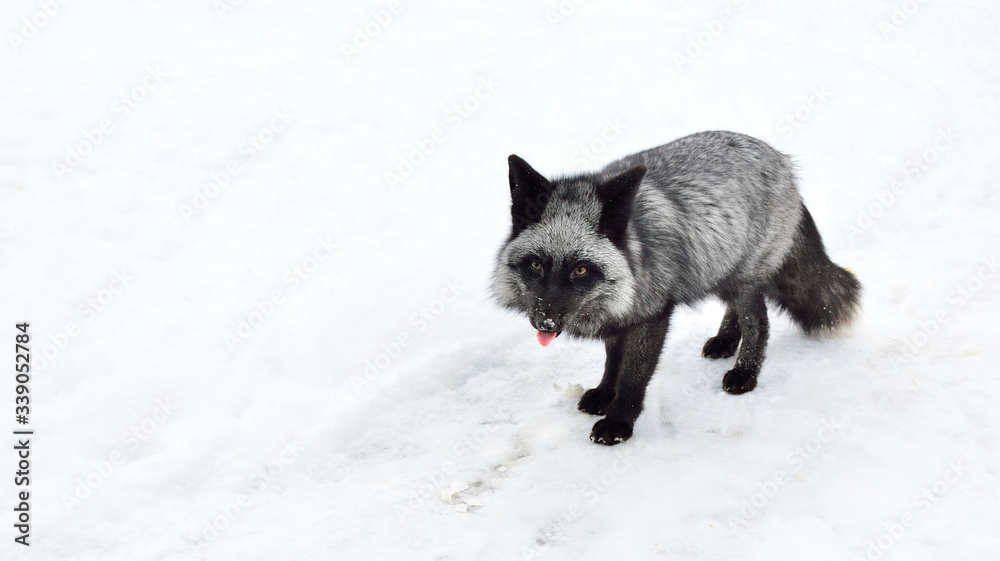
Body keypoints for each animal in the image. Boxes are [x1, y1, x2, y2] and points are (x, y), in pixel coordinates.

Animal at [492, 131, 861, 445]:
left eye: (581, 269)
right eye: (536, 265)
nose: (545, 322)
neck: (635, 254)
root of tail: (782, 159)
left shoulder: (652, 315)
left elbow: (633, 376)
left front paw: (618, 423)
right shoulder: (621, 314)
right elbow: (613, 363)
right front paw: (604, 394)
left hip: (742, 280)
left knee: (758, 320)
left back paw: (744, 373)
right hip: (722, 270)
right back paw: (725, 342)